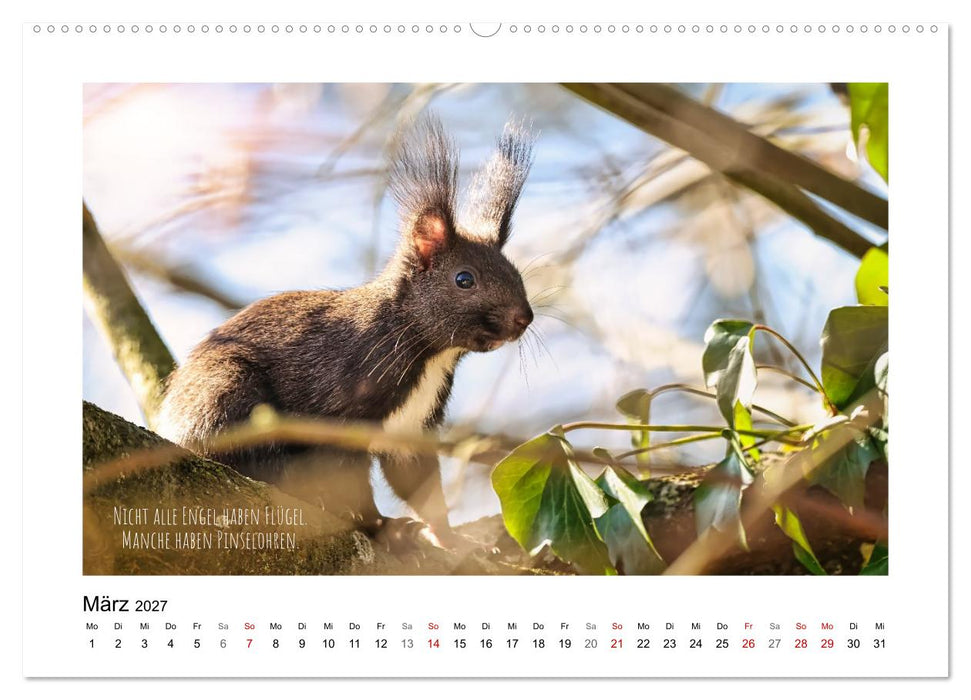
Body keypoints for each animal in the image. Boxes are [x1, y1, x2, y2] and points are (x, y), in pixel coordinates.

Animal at [157, 114, 535, 549]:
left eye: (515, 272)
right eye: (464, 279)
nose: (525, 318)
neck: (426, 350)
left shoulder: (411, 424)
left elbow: (416, 479)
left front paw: (449, 538)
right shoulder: (341, 406)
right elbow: (346, 475)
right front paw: (381, 526)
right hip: (225, 391)